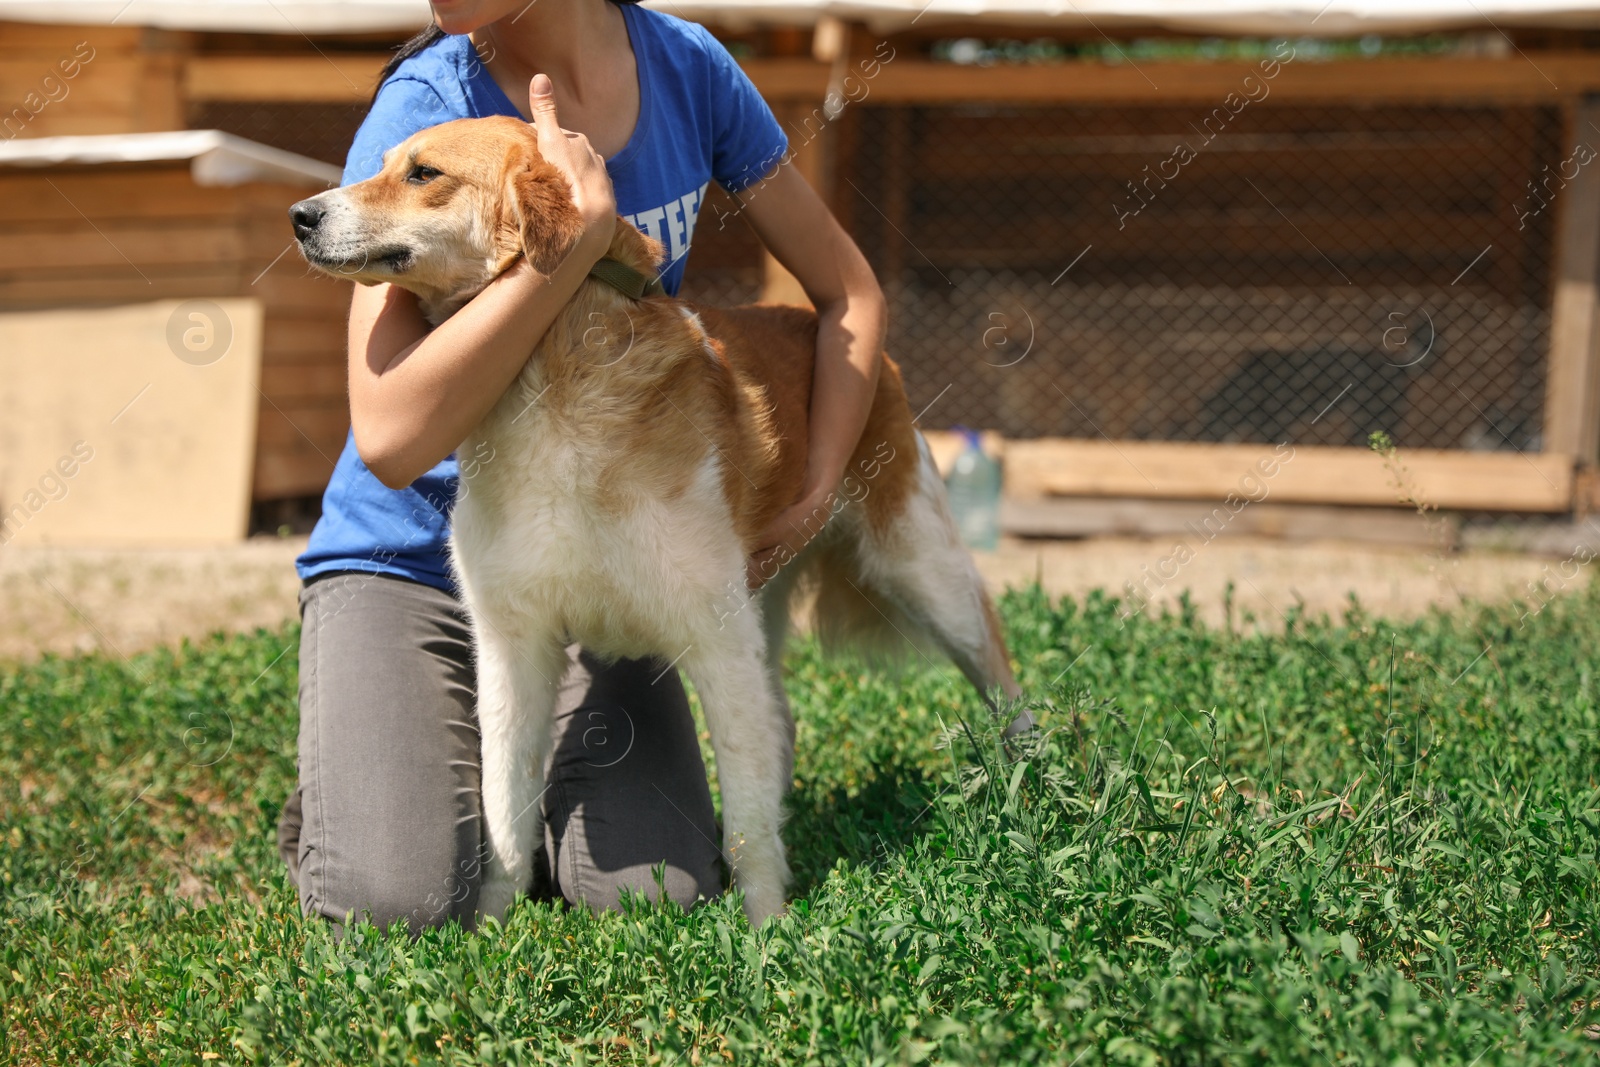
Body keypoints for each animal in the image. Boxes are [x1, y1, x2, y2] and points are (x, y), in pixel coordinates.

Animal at [292, 115, 1017, 927]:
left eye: (423, 174)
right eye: (382, 162)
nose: (300, 216)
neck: (550, 385)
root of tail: (840, 338)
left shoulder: (716, 637)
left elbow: (744, 814)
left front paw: (767, 929)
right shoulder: (514, 647)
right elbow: (503, 809)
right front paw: (490, 928)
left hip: (923, 571)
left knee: (1000, 676)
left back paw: (1039, 785)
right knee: (781, 727)